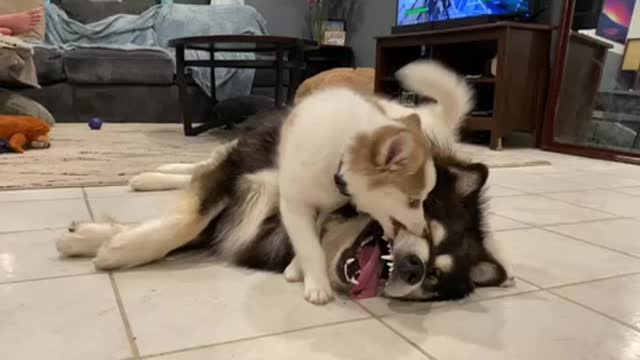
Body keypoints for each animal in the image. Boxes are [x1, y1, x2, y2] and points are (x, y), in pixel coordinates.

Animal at [56, 111, 516, 302]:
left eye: (435, 278)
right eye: (426, 226)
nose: (414, 269)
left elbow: (190, 226)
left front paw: (97, 238)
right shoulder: (246, 166)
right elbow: (187, 220)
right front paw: (119, 249)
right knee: (201, 164)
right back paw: (149, 175)